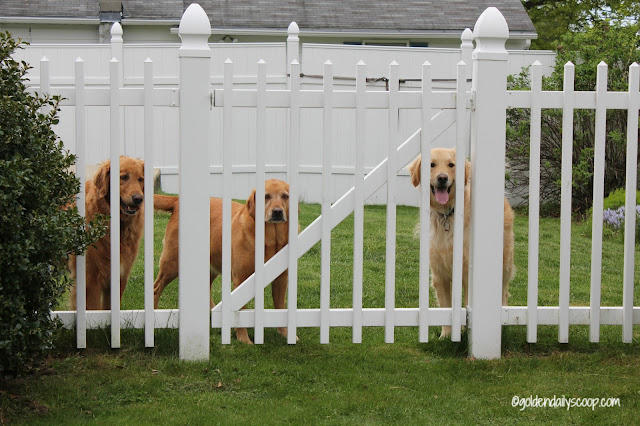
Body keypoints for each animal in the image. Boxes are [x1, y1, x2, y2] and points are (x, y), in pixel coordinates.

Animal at [154, 178, 294, 344]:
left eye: (285, 196)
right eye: (266, 196)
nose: (277, 212)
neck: (271, 240)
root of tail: (177, 201)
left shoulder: (281, 278)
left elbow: (281, 307)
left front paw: (286, 334)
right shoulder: (241, 278)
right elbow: (240, 312)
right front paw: (244, 339)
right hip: (172, 263)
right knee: (156, 288)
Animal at [410, 148, 516, 338]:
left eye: (451, 164)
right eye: (431, 164)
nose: (442, 178)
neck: (448, 214)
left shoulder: (467, 273)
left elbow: (467, 303)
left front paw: (464, 331)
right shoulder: (439, 275)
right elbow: (446, 307)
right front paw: (446, 334)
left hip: (505, 264)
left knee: (504, 291)